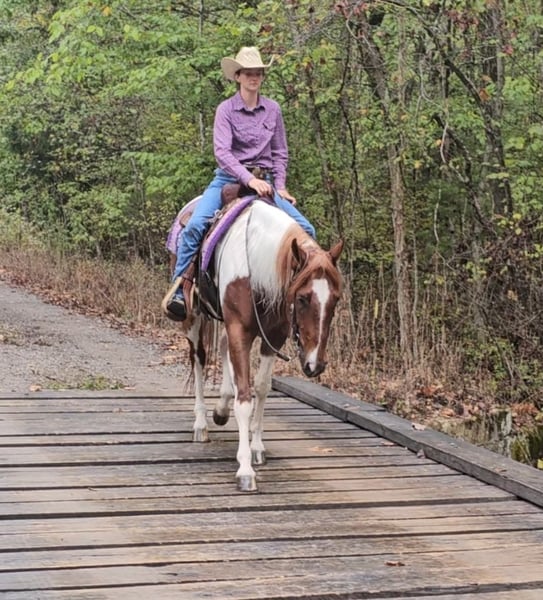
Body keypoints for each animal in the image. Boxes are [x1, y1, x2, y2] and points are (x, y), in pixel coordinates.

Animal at [175, 196, 343, 492]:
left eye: (335, 299)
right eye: (302, 298)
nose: (315, 364)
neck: (254, 266)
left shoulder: (272, 335)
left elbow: (262, 388)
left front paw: (256, 447)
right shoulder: (239, 330)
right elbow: (244, 397)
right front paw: (245, 469)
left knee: (222, 349)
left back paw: (221, 409)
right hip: (194, 316)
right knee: (199, 359)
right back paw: (201, 423)